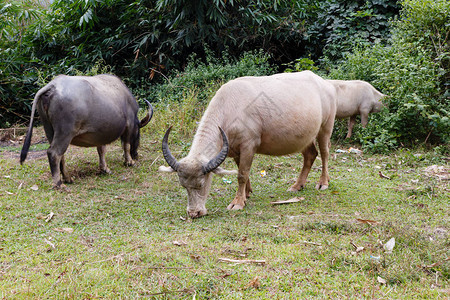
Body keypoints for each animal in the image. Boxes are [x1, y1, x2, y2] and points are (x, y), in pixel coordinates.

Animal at [20, 74, 153, 188]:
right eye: (138, 133)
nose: (136, 155)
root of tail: (52, 86)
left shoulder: (101, 133)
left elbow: (101, 150)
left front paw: (105, 169)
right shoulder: (129, 126)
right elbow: (126, 145)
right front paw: (129, 162)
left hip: (49, 130)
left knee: (60, 155)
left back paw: (67, 178)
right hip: (65, 133)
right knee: (54, 153)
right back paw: (59, 184)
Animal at [160, 71, 336, 219]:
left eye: (201, 184)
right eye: (183, 185)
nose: (194, 213)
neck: (230, 110)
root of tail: (325, 84)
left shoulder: (248, 146)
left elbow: (242, 175)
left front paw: (237, 203)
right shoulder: (234, 149)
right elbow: (242, 171)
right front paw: (247, 194)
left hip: (325, 127)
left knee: (325, 154)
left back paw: (323, 183)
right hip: (306, 137)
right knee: (310, 155)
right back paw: (297, 185)